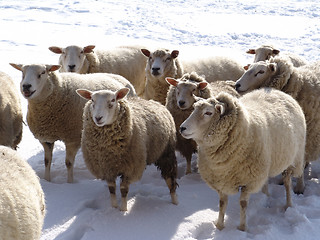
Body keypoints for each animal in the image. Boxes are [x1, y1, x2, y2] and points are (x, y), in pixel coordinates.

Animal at [9, 62, 137, 183]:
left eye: (42, 73)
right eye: (22, 72)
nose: (26, 86)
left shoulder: (73, 138)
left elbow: (69, 163)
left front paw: (70, 183)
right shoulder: (46, 138)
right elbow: (47, 161)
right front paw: (47, 180)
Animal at [180, 87, 304, 231]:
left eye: (208, 112)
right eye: (193, 109)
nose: (182, 128)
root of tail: (275, 91)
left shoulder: (248, 181)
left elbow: (243, 203)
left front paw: (242, 228)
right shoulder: (221, 180)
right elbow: (222, 203)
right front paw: (219, 226)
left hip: (294, 159)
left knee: (287, 183)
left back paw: (288, 205)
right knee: (267, 181)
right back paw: (266, 195)